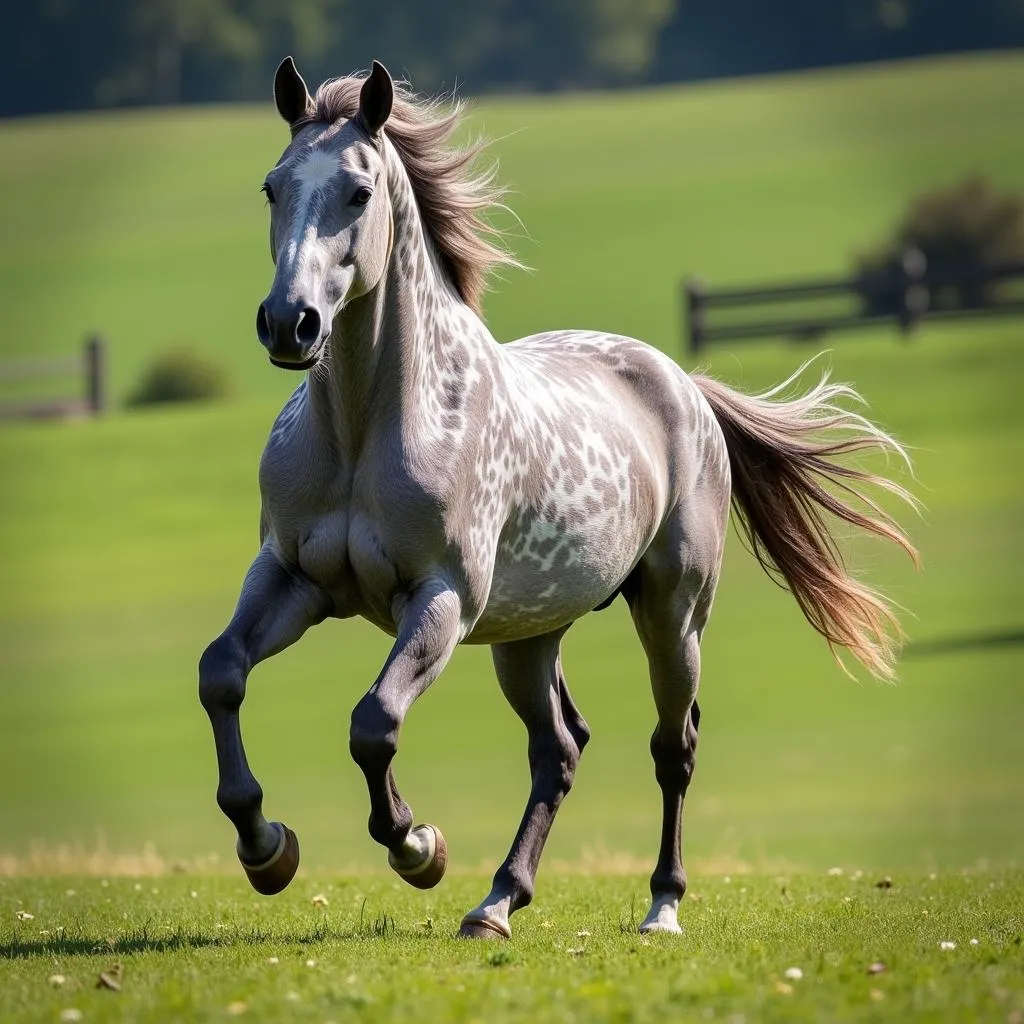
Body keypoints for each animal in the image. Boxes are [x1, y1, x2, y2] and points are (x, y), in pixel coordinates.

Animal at [195, 59, 917, 937]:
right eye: (273, 187)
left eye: (359, 193)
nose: (288, 324)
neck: (369, 430)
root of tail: (685, 384)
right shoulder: (292, 578)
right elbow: (221, 672)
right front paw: (266, 848)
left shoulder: (441, 600)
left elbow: (375, 723)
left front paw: (417, 847)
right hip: (528, 634)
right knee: (560, 749)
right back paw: (497, 902)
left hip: (671, 612)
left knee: (673, 747)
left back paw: (659, 906)